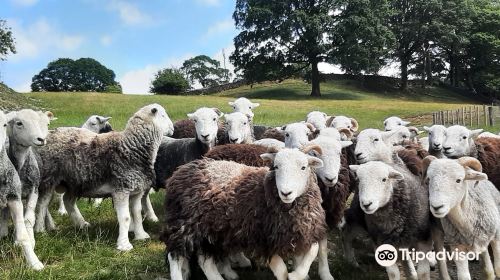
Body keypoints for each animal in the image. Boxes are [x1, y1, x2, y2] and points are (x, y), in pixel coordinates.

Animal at [34, 103, 173, 252]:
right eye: (163, 115)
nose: (172, 128)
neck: (133, 148)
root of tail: (47, 135)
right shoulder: (121, 190)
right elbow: (125, 217)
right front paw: (124, 245)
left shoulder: (136, 190)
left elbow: (136, 213)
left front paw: (141, 236)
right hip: (49, 178)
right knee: (42, 204)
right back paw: (40, 230)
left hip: (73, 181)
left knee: (67, 201)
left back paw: (80, 224)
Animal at [163, 147, 328, 280]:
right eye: (276, 167)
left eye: (303, 167)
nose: (286, 193)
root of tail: (180, 170)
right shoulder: (262, 239)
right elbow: (281, 271)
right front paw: (291, 275)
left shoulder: (304, 232)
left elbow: (314, 251)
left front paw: (298, 274)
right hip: (184, 224)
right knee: (174, 256)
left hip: (208, 230)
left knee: (205, 260)